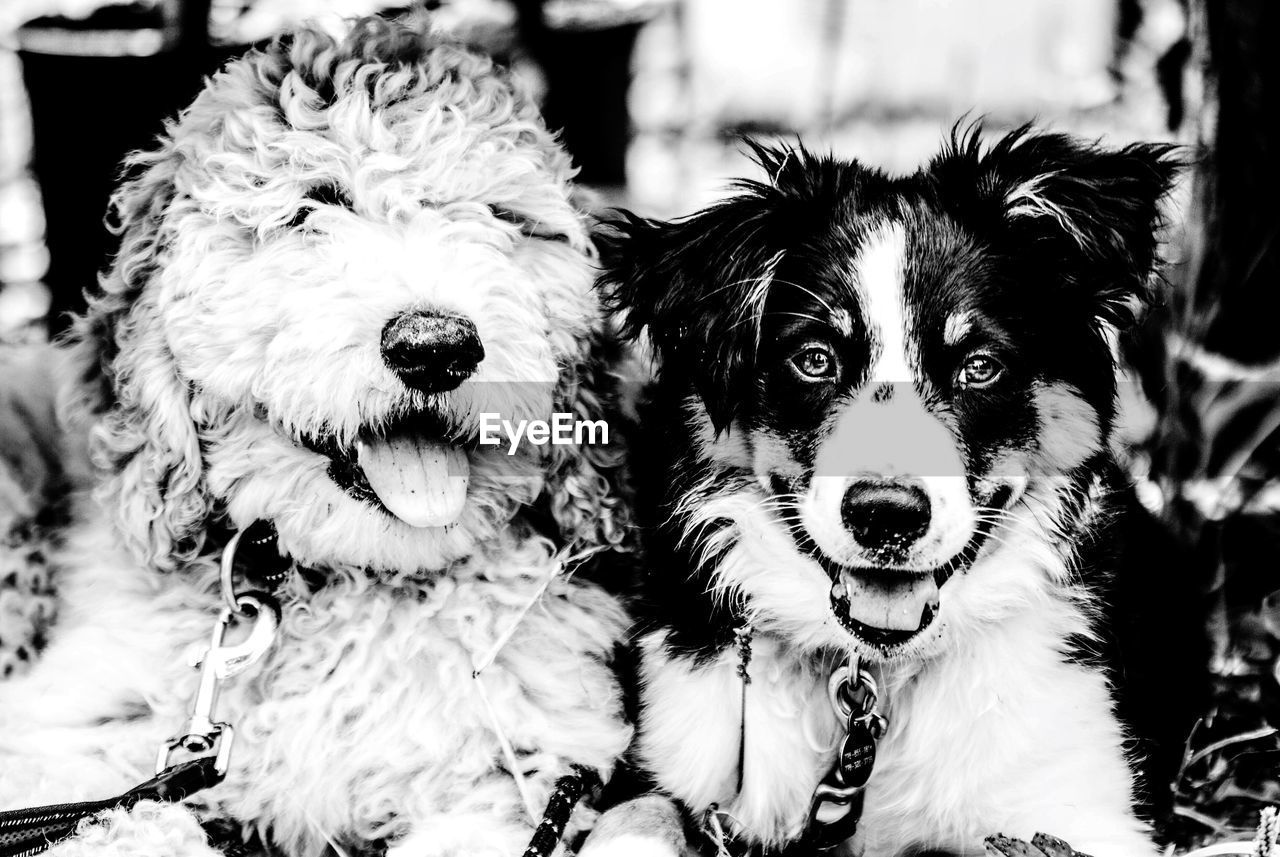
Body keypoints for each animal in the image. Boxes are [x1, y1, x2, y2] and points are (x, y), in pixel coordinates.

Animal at [0, 18, 637, 857]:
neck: (347, 581)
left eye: (502, 217)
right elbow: (118, 816)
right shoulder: (68, 735)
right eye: (309, 209)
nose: (434, 346)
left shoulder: (524, 771)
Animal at [593, 129, 1182, 857]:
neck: (877, 676)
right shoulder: (673, 748)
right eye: (814, 358)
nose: (886, 516)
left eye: (979, 366)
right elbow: (639, 814)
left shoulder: (1079, 804)